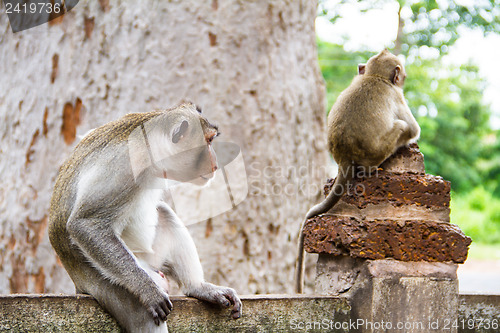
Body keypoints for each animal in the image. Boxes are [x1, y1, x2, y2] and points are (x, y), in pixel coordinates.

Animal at [49, 102, 242, 330]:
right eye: (209, 141)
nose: (215, 163)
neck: (150, 148)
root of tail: (79, 284)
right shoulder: (124, 167)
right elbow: (85, 223)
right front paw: (146, 290)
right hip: (108, 284)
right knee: (143, 315)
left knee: (165, 213)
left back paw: (197, 287)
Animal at [294, 49, 420, 290]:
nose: (403, 80)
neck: (374, 76)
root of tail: (344, 157)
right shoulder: (397, 96)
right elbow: (413, 128)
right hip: (378, 152)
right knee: (401, 126)